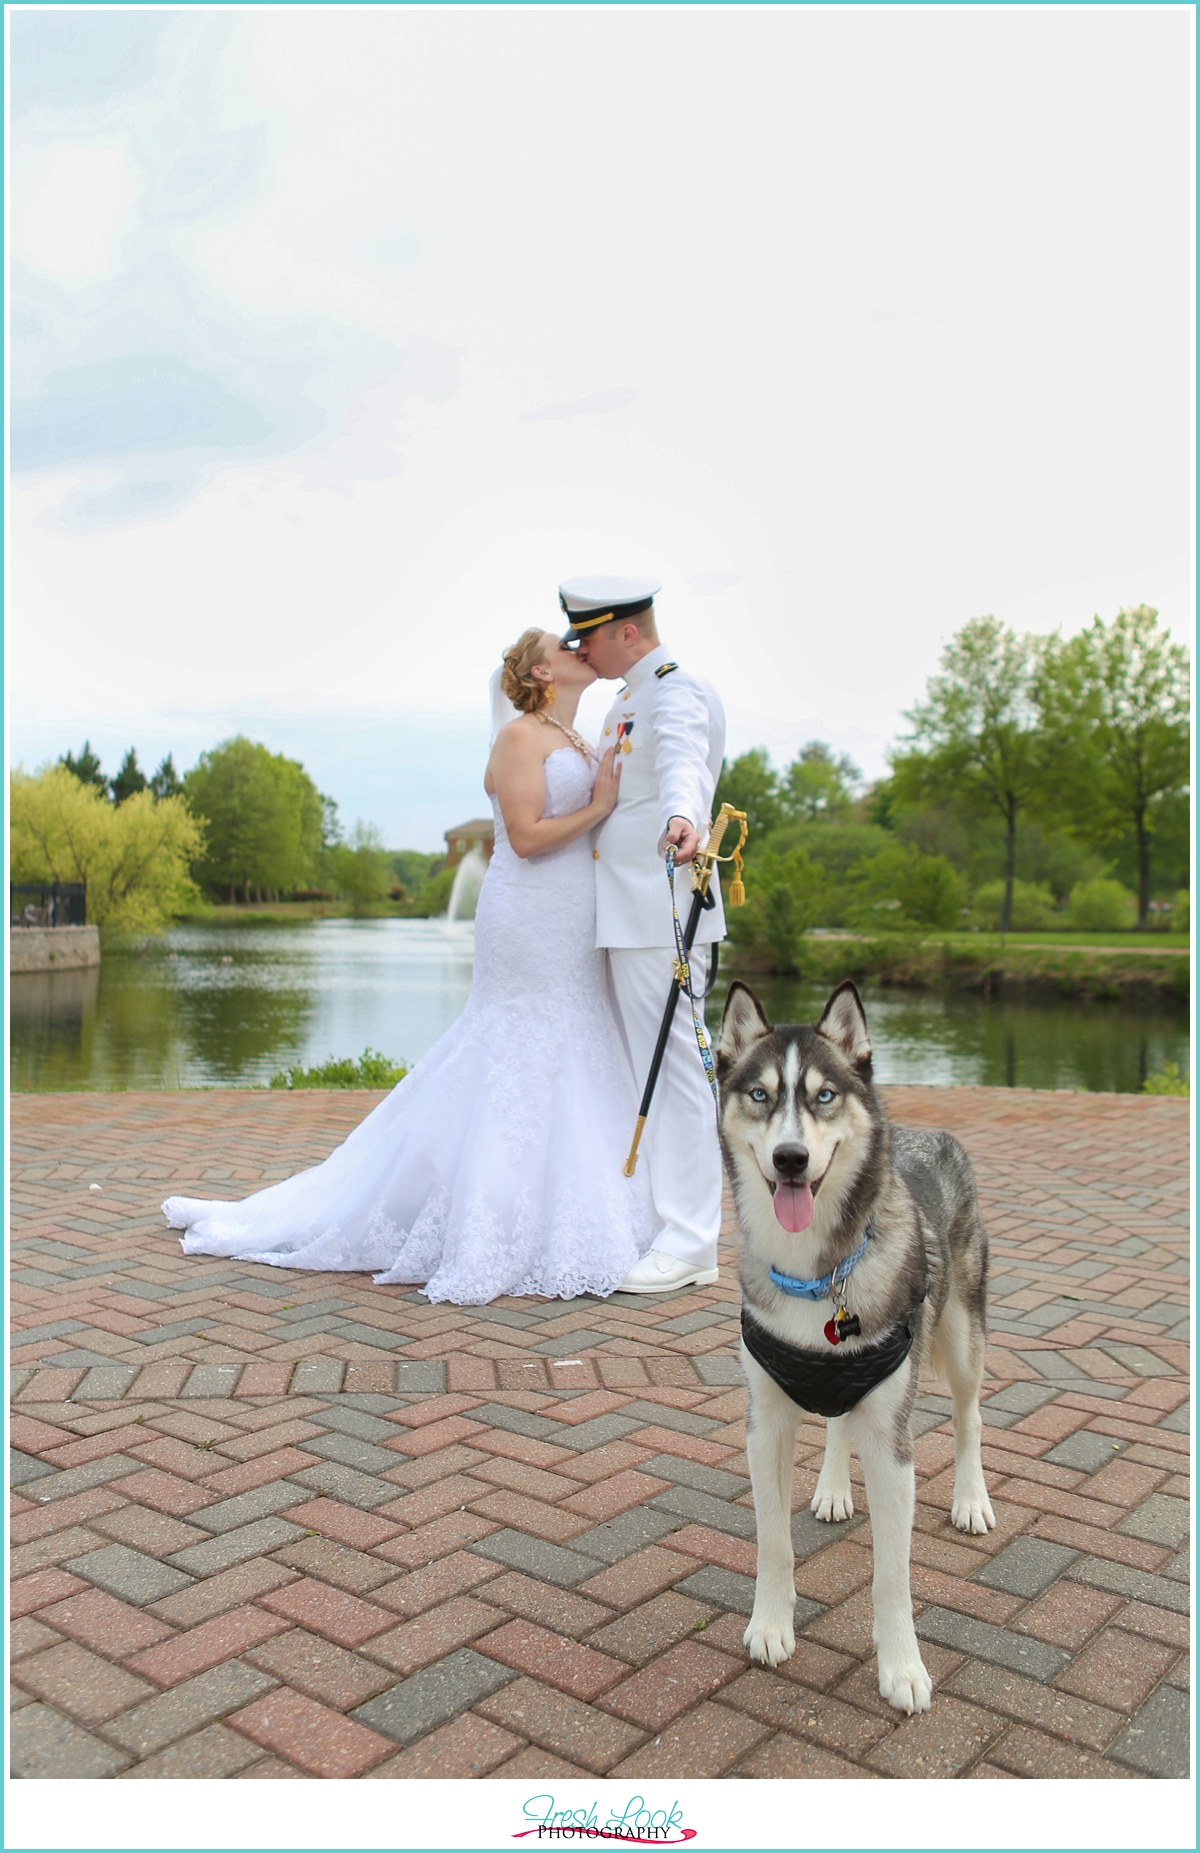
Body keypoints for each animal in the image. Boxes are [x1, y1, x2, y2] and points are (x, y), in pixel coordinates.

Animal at [718, 978, 992, 1712]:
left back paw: (970, 1499)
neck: (817, 1274)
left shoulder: (893, 1442)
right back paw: (835, 1487)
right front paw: (771, 1626)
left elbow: (892, 1575)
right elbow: (774, 1545)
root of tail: (931, 1134)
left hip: (961, 1338)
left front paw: (901, 1667)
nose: (790, 1158)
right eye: (760, 1094)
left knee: (970, 1417)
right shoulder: (765, 1425)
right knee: (839, 1420)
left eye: (824, 1095)